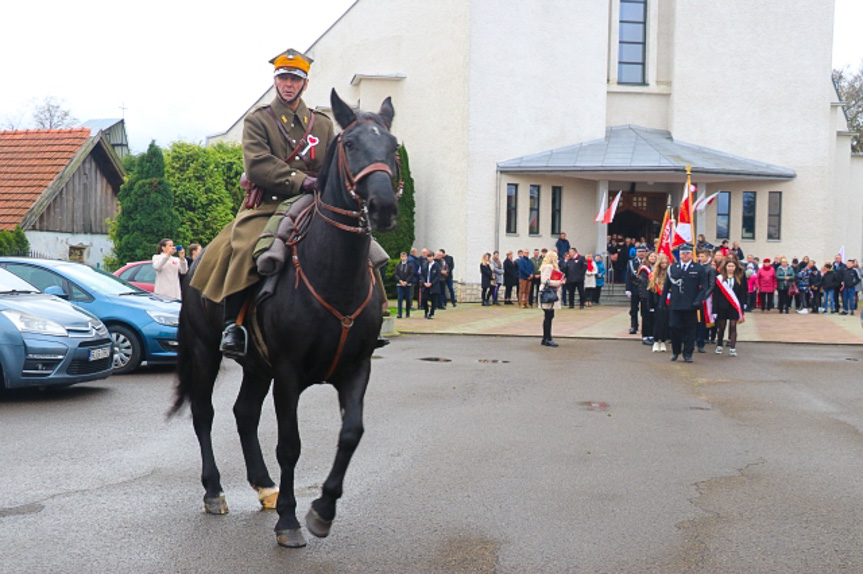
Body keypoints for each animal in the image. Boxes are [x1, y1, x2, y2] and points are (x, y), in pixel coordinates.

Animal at [171, 90, 402, 548]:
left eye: (393, 145)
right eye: (351, 144)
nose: (383, 206)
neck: (333, 272)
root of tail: (197, 259)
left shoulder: (356, 369)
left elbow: (351, 434)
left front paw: (323, 510)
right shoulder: (288, 373)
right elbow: (290, 445)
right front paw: (290, 521)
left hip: (257, 367)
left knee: (244, 413)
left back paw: (264, 487)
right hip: (206, 352)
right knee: (205, 414)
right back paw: (214, 490)